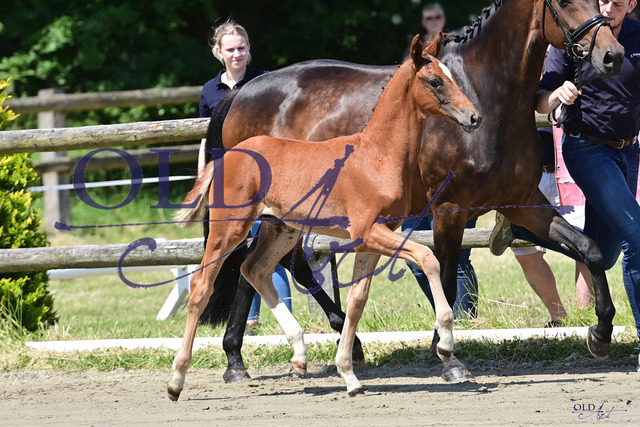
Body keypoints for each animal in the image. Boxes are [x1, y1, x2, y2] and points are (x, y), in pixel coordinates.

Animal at [168, 34, 481, 400]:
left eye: (452, 76)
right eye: (434, 81)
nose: (474, 117)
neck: (377, 155)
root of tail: (227, 156)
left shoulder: (372, 238)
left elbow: (358, 300)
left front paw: (349, 376)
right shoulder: (369, 231)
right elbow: (428, 258)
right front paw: (445, 344)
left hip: (282, 228)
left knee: (254, 269)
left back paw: (299, 354)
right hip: (230, 228)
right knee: (202, 285)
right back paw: (176, 381)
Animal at [201, 0, 624, 385]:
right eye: (564, 2)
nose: (612, 55)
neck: (488, 95)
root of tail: (241, 93)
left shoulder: (522, 202)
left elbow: (590, 249)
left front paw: (600, 334)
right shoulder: (450, 209)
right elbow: (448, 278)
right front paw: (447, 355)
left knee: (258, 267)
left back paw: (250, 357)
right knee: (266, 265)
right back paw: (252, 355)